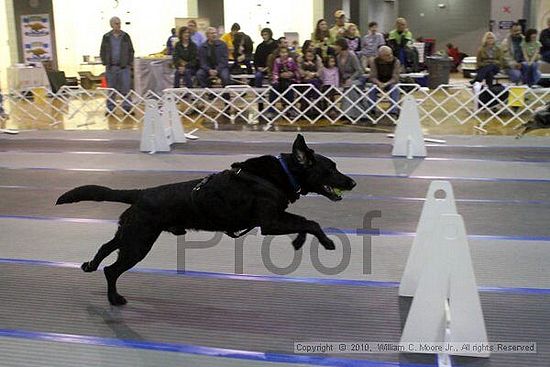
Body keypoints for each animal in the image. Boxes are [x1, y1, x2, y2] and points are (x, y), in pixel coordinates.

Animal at [56, 134, 358, 306]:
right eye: (331, 168)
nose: (353, 182)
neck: (282, 174)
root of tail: (141, 193)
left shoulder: (276, 219)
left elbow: (302, 221)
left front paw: (298, 242)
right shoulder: (270, 222)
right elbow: (310, 221)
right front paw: (327, 243)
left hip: (131, 234)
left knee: (105, 247)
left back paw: (89, 265)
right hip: (139, 243)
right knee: (112, 269)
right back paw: (114, 299)